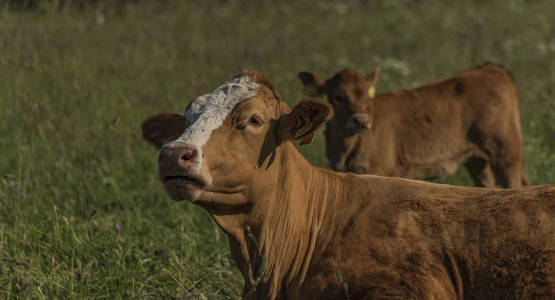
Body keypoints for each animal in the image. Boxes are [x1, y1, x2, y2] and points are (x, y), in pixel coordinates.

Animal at [300, 63, 528, 189]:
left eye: (367, 97)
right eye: (338, 96)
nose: (362, 120)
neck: (345, 148)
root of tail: (492, 67)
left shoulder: (380, 170)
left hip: (507, 155)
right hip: (479, 162)